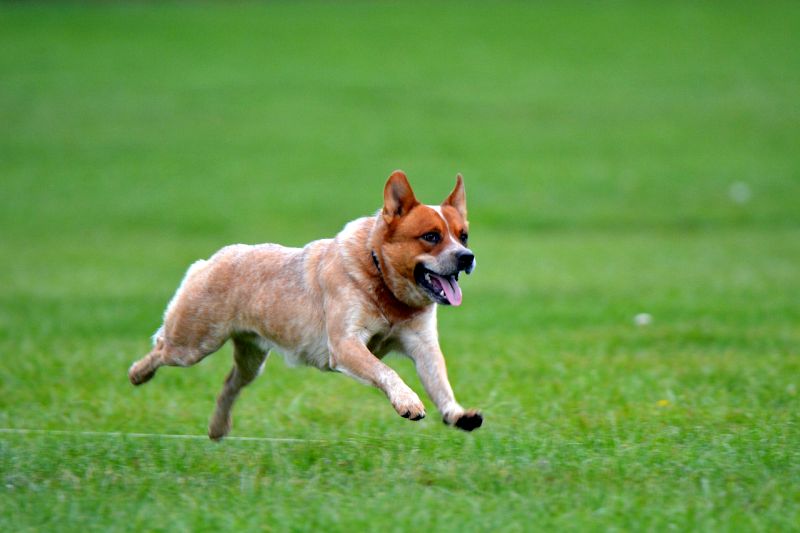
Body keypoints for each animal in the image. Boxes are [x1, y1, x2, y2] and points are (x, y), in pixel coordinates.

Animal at [129, 171, 484, 440]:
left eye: (463, 235)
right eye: (431, 236)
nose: (467, 257)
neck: (384, 284)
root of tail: (214, 258)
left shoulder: (422, 345)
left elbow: (439, 382)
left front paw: (457, 414)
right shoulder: (345, 344)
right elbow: (387, 370)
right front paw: (408, 402)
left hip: (252, 359)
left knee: (230, 384)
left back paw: (218, 428)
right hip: (194, 343)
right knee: (161, 348)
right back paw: (137, 375)